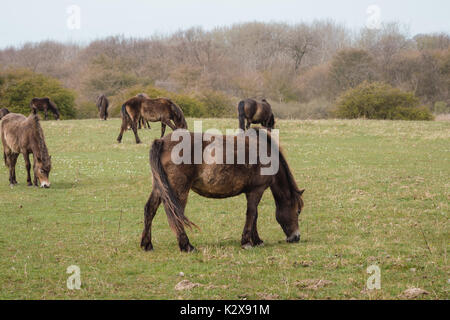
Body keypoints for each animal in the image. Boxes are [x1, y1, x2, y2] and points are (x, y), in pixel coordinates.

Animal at [141, 128, 306, 252]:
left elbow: (254, 215)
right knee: (176, 215)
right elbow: (252, 214)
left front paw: (257, 240)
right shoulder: (256, 191)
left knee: (150, 209)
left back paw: (147, 244)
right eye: (298, 211)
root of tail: (162, 141)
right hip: (179, 190)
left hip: (160, 187)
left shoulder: (251, 192)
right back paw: (186, 246)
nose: (296, 237)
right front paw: (247, 242)